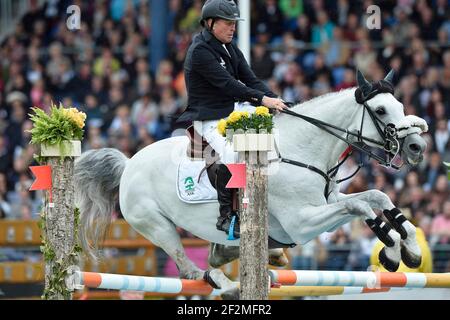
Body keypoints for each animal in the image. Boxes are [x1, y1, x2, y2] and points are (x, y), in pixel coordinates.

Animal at [74, 71, 428, 298]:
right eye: (380, 110)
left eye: (400, 106)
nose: (417, 147)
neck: (301, 149)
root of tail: (128, 163)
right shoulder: (301, 223)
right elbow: (361, 205)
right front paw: (392, 252)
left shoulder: (327, 204)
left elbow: (377, 197)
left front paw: (409, 248)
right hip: (154, 223)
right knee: (191, 270)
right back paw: (229, 283)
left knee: (213, 257)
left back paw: (255, 259)